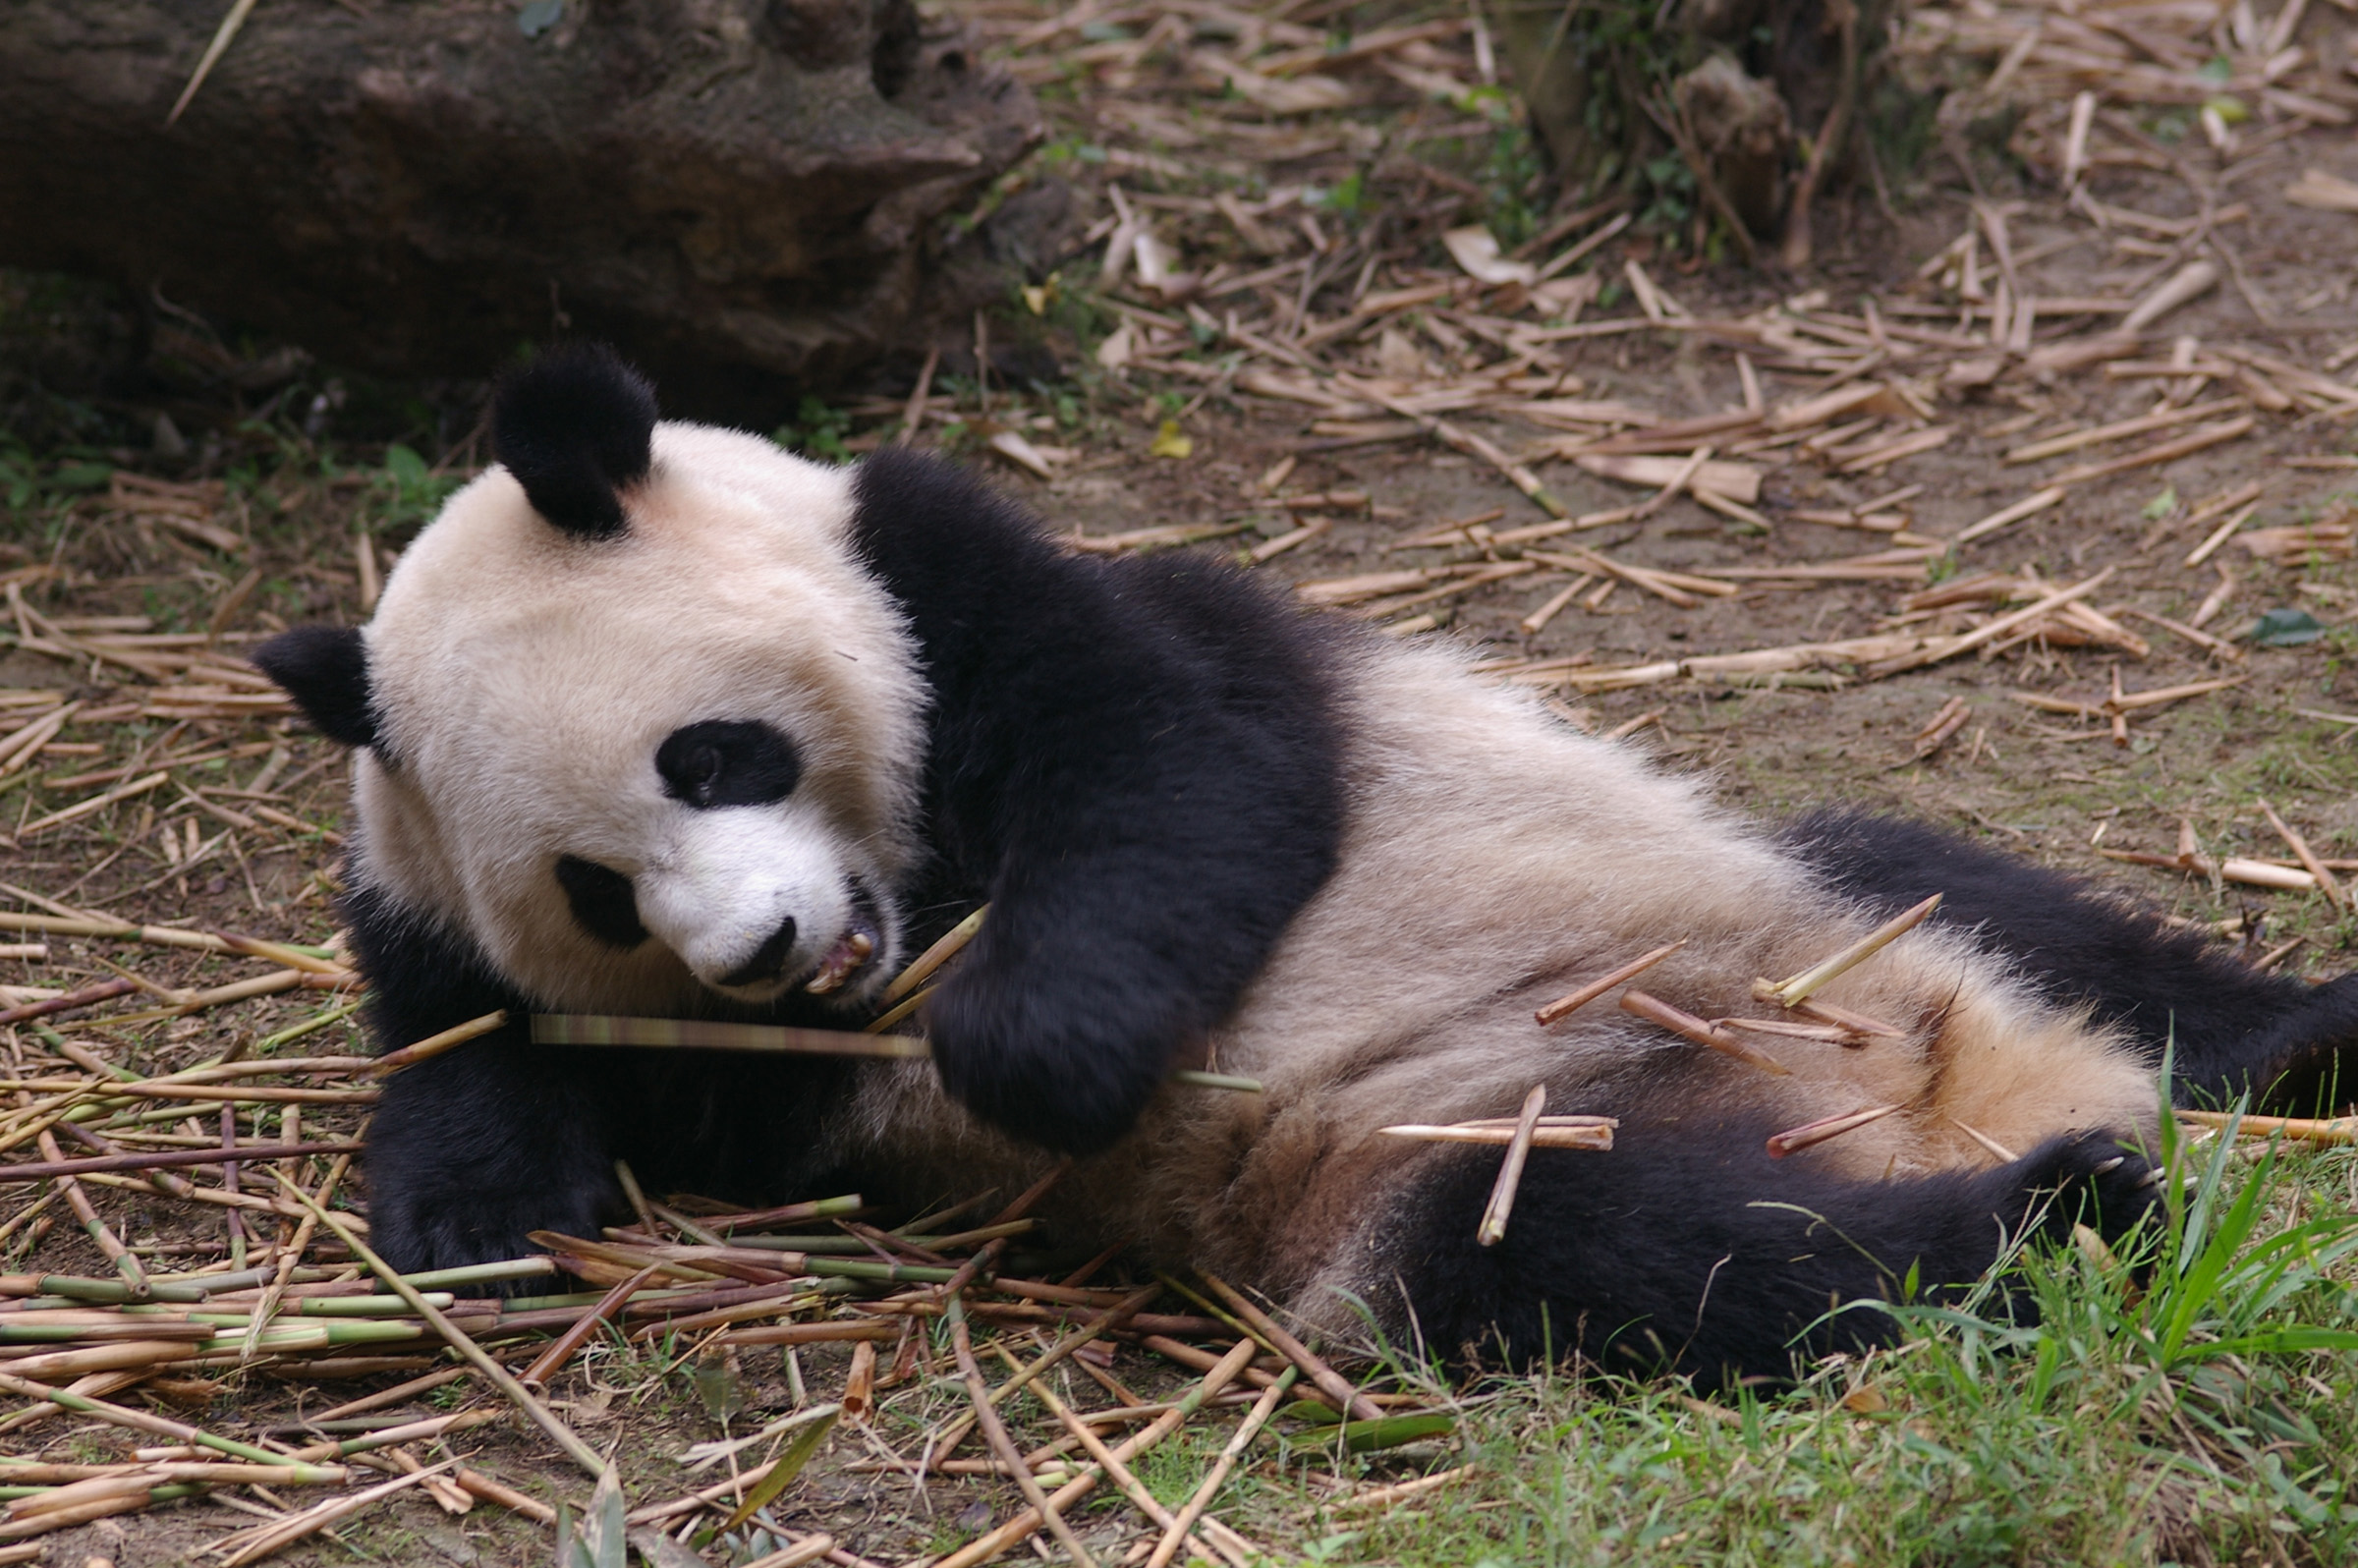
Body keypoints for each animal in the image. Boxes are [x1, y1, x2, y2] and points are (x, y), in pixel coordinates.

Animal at [253, 344, 2358, 1382]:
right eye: (597, 889)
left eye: (714, 755)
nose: (767, 951)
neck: (910, 904)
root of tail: (1947, 1079)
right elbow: (477, 1038)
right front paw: (472, 1212)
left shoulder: (976, 580)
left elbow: (1187, 779)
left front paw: (1021, 1043)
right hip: (1473, 1137)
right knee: (1656, 1260)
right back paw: (2068, 1207)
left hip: (1792, 893)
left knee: (2023, 916)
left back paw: (2269, 1059)